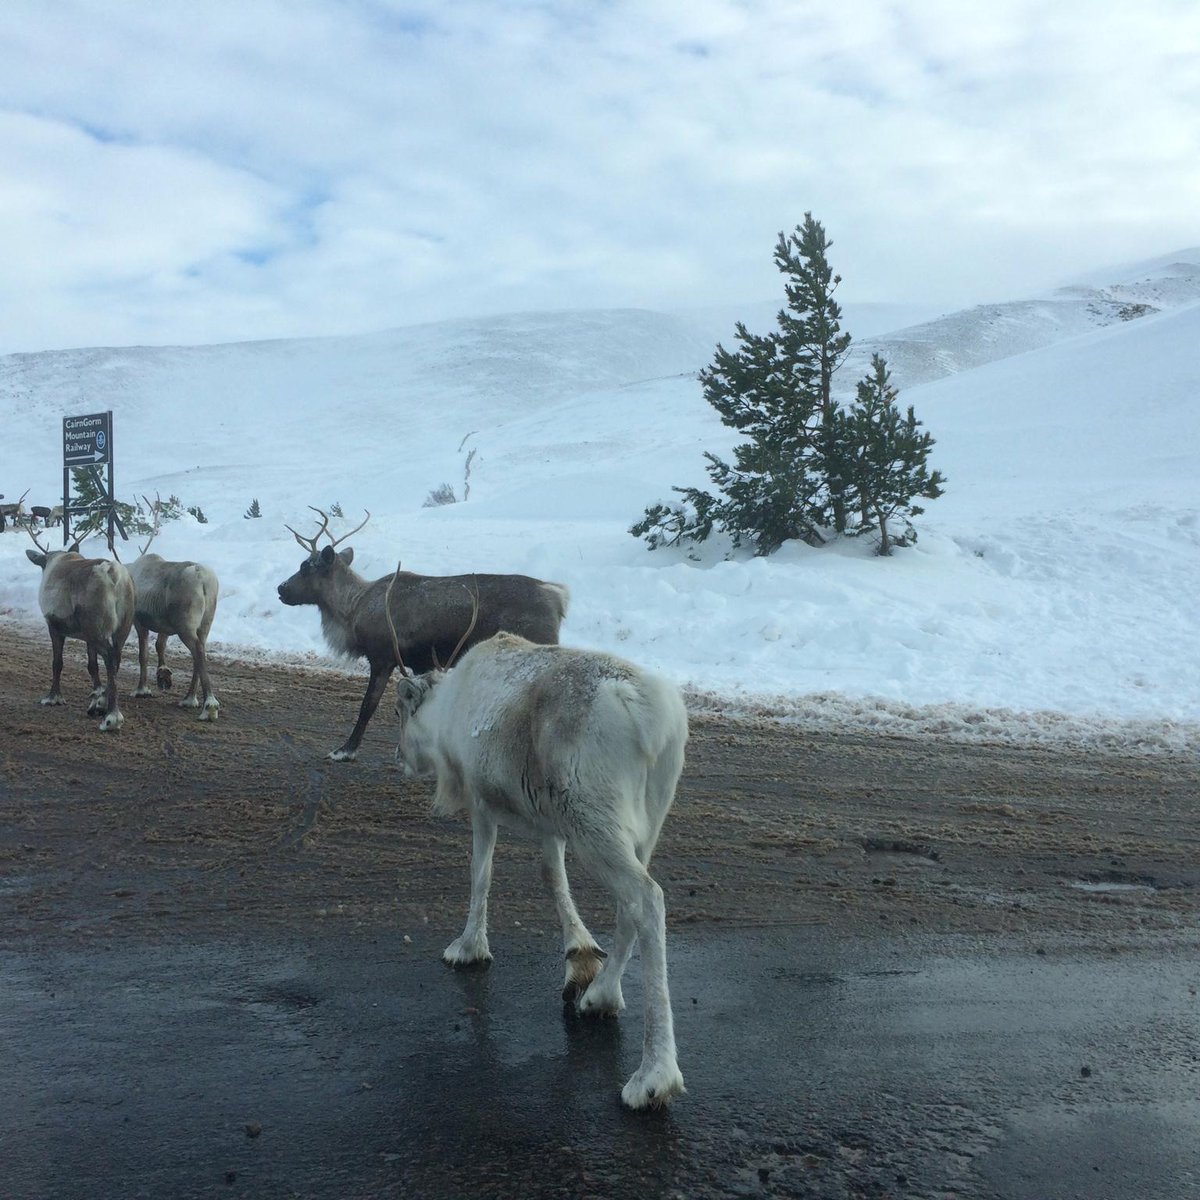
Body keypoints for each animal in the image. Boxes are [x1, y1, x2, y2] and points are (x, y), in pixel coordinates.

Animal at [25, 528, 135, 731]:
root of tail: (114, 575)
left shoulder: (54, 625)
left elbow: (57, 663)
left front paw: (52, 698)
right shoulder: (86, 636)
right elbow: (92, 666)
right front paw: (96, 697)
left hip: (97, 627)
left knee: (110, 658)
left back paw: (112, 717)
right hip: (121, 626)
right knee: (116, 658)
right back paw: (101, 705)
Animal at [126, 497, 221, 720]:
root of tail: (203, 580)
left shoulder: (139, 621)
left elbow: (143, 655)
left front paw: (141, 689)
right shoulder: (164, 625)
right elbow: (160, 645)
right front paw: (163, 675)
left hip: (185, 624)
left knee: (198, 652)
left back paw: (209, 704)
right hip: (205, 621)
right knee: (201, 650)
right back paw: (190, 699)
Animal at [276, 508, 569, 761]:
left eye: (305, 566)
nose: (281, 588)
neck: (351, 610)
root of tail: (557, 597)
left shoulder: (383, 657)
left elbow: (367, 706)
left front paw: (345, 750)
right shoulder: (418, 664)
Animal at [394, 630, 689, 1110]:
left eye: (399, 710)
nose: (398, 755)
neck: (448, 709)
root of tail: (647, 713)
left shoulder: (481, 802)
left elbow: (480, 873)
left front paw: (468, 948)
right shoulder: (551, 825)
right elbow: (552, 876)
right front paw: (579, 955)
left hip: (593, 820)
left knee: (646, 898)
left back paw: (652, 1076)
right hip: (646, 821)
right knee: (631, 905)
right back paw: (600, 995)